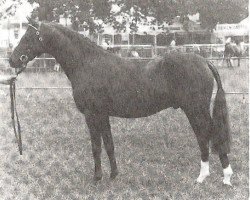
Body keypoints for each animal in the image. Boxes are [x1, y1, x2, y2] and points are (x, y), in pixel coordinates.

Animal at [8, 18, 233, 186]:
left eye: (29, 37)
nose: (12, 60)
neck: (87, 63)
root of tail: (204, 60)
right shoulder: (103, 115)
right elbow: (109, 144)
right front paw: (113, 175)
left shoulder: (92, 115)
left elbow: (96, 147)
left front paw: (97, 178)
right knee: (204, 137)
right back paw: (205, 176)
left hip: (196, 110)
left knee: (209, 136)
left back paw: (223, 177)